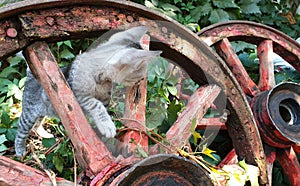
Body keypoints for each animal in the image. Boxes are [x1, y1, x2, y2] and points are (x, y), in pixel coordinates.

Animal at [14, 26, 162, 157]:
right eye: (140, 76)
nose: (140, 81)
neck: (101, 80)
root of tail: (31, 74)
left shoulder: (105, 101)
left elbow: (102, 110)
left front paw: (105, 137)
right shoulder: (79, 97)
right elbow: (96, 105)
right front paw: (107, 126)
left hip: (42, 111)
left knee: (37, 124)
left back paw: (45, 134)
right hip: (29, 113)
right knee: (21, 129)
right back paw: (19, 150)